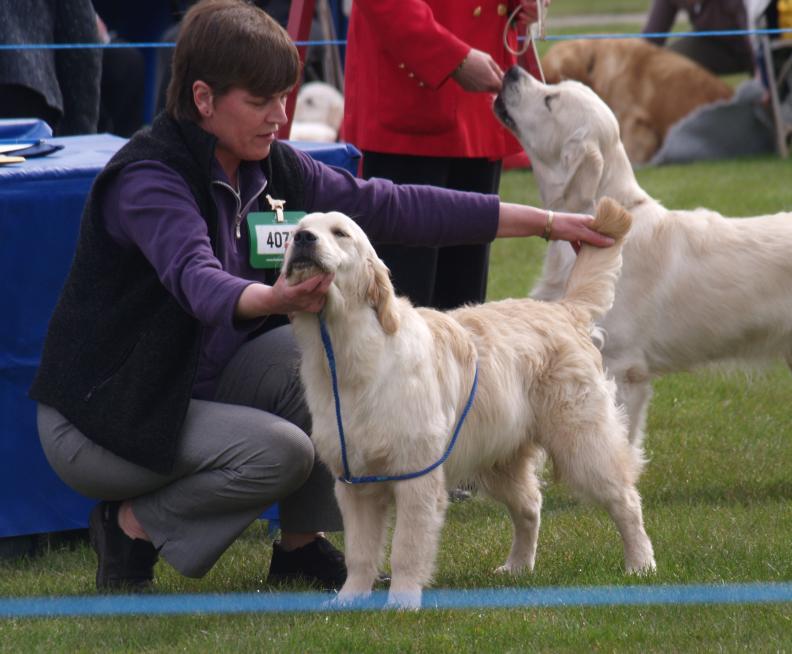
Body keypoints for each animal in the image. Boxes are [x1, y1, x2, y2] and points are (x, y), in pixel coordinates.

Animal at [284, 204, 656, 608]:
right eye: (296, 231)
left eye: (339, 233)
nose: (304, 239)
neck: (344, 351)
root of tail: (563, 310)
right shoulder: (354, 482)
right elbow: (361, 552)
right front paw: (349, 600)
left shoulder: (416, 477)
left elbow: (406, 549)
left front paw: (401, 603)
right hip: (497, 460)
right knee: (531, 505)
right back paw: (518, 566)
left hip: (583, 445)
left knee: (625, 500)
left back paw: (640, 564)